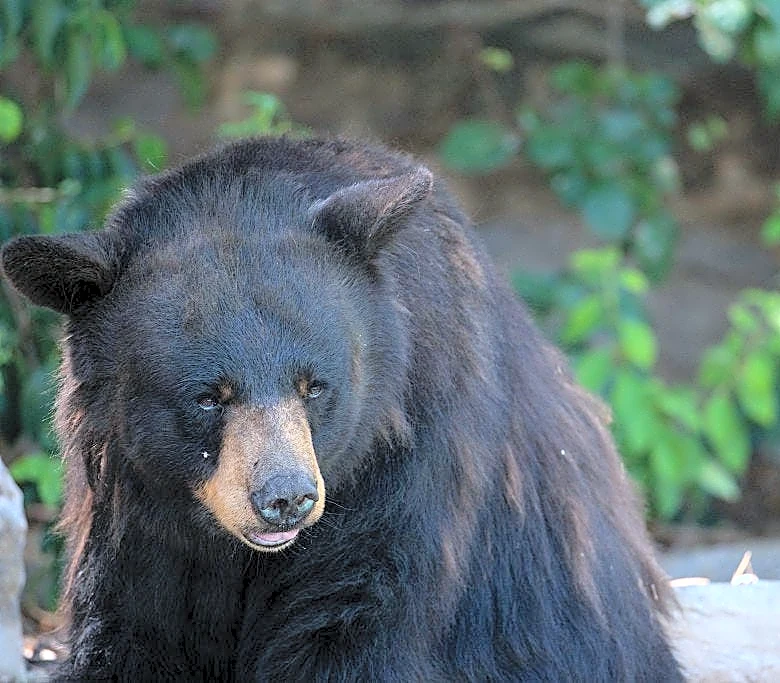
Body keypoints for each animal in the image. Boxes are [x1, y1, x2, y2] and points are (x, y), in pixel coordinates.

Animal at [1, 136, 682, 681]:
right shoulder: (135, 509)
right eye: (209, 395)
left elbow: (351, 619)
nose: (286, 498)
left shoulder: (408, 466)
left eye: (315, 386)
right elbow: (135, 625)